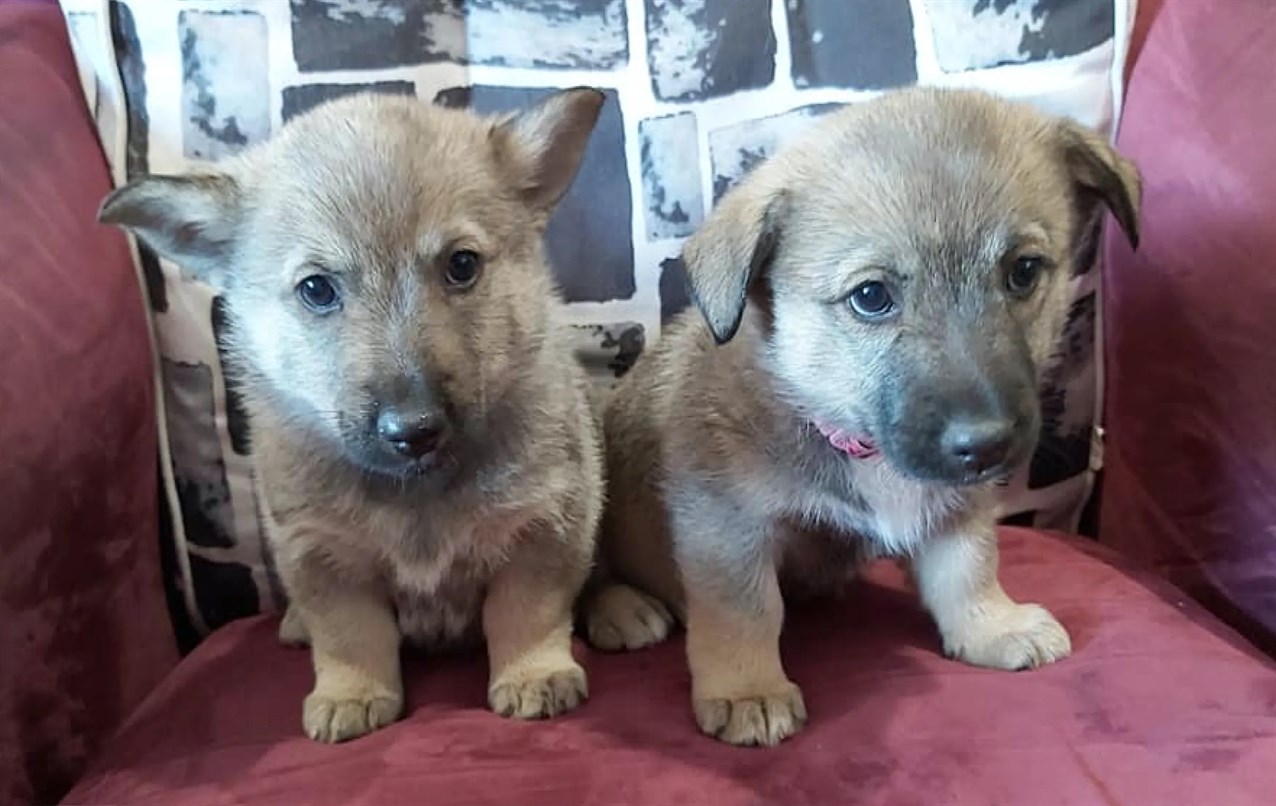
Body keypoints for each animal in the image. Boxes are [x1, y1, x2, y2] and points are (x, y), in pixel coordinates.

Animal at [96, 87, 604, 744]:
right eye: (317, 289)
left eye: (462, 265)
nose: (414, 430)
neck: (417, 496)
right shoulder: (320, 556)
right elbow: (350, 637)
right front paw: (352, 696)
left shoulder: (545, 528)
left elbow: (526, 614)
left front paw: (533, 677)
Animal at [584, 84, 1143, 744]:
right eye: (871, 297)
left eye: (1024, 272)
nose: (987, 445)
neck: (844, 431)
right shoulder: (726, 527)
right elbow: (746, 610)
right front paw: (749, 689)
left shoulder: (956, 503)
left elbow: (969, 567)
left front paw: (992, 625)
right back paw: (623, 608)